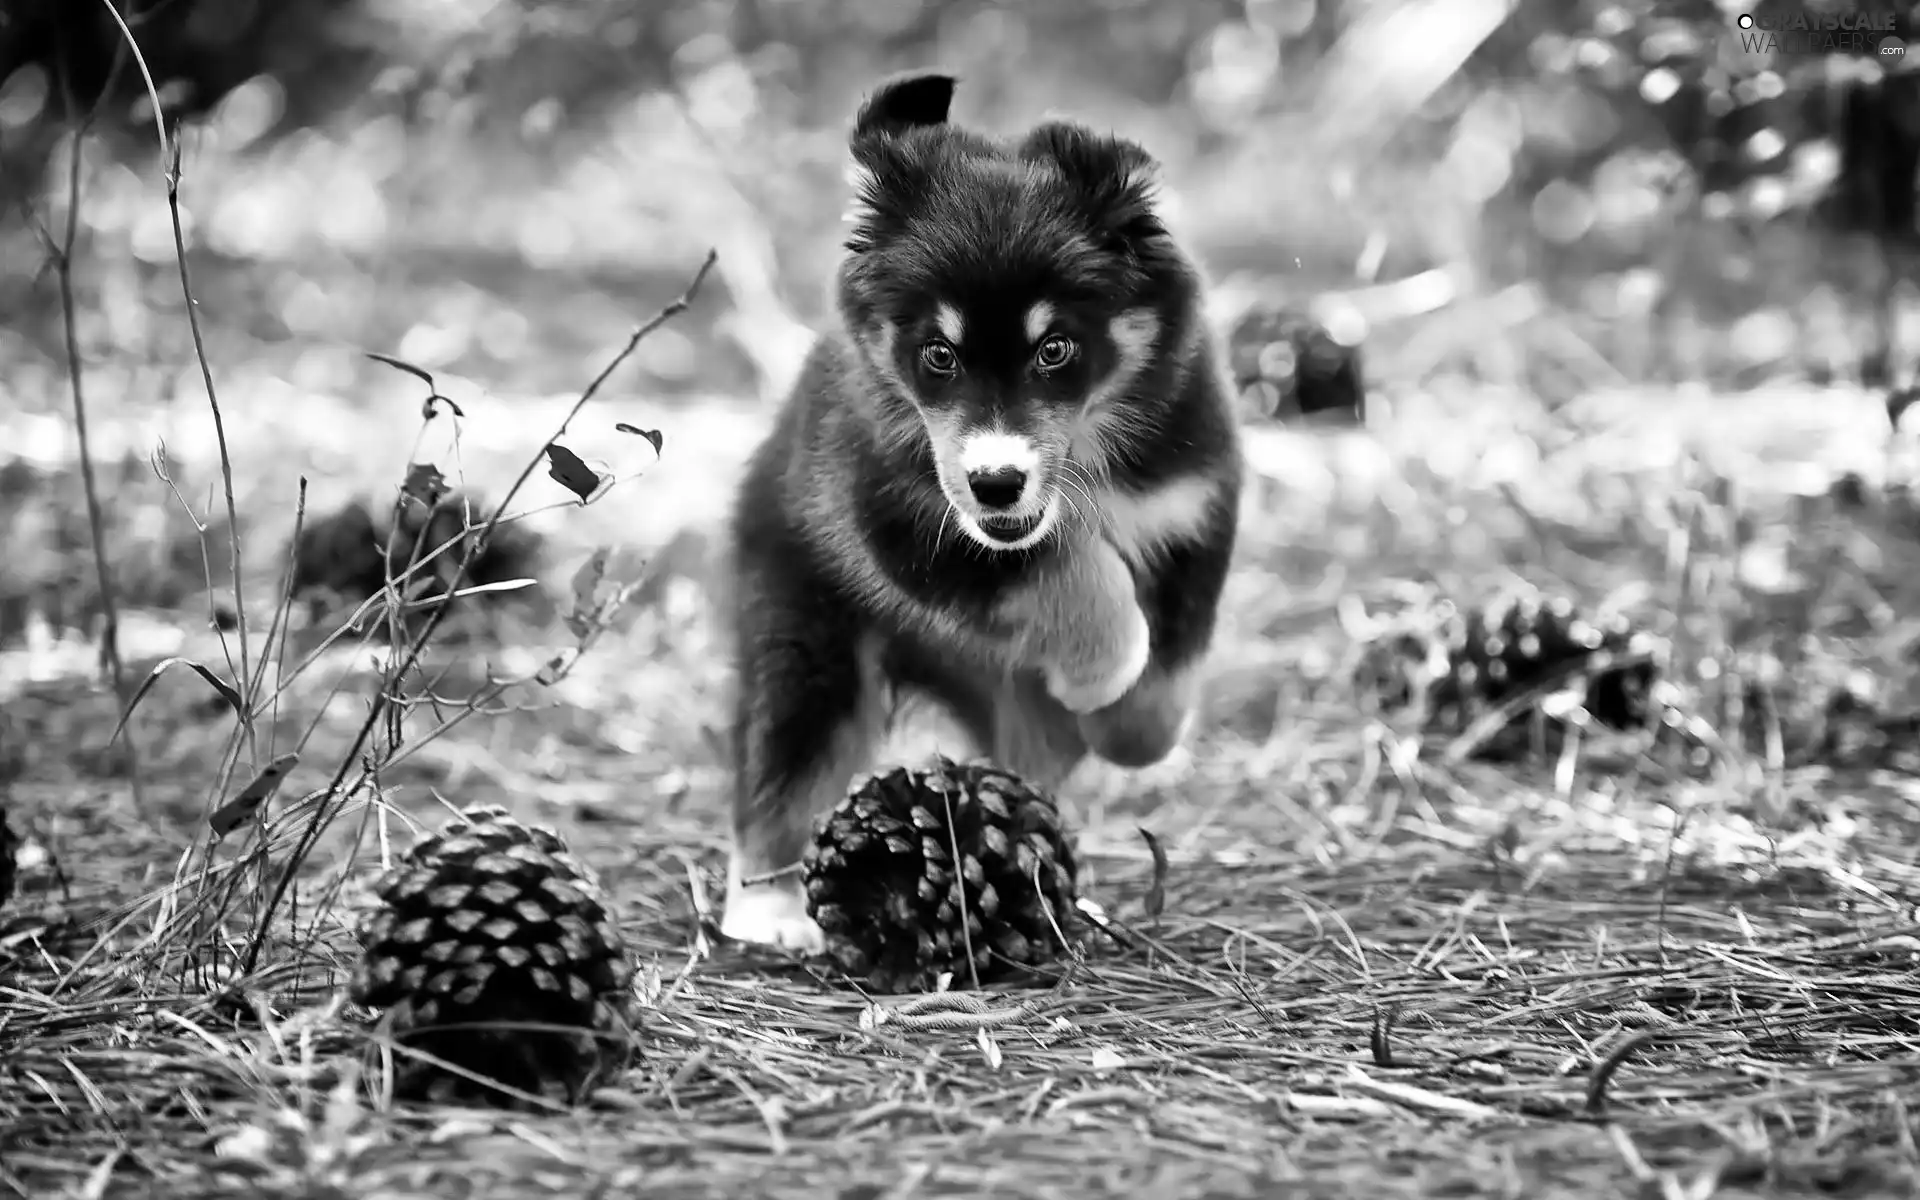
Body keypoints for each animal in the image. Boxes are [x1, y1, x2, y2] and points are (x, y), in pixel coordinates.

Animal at [721, 72, 1244, 956]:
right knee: (786, 760)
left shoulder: (1193, 508)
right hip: (806, 636)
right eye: (939, 354)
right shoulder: (896, 518)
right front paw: (1100, 671)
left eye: (1055, 349)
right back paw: (769, 907)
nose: (996, 483)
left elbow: (1168, 669)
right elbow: (1066, 572)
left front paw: (1126, 729)